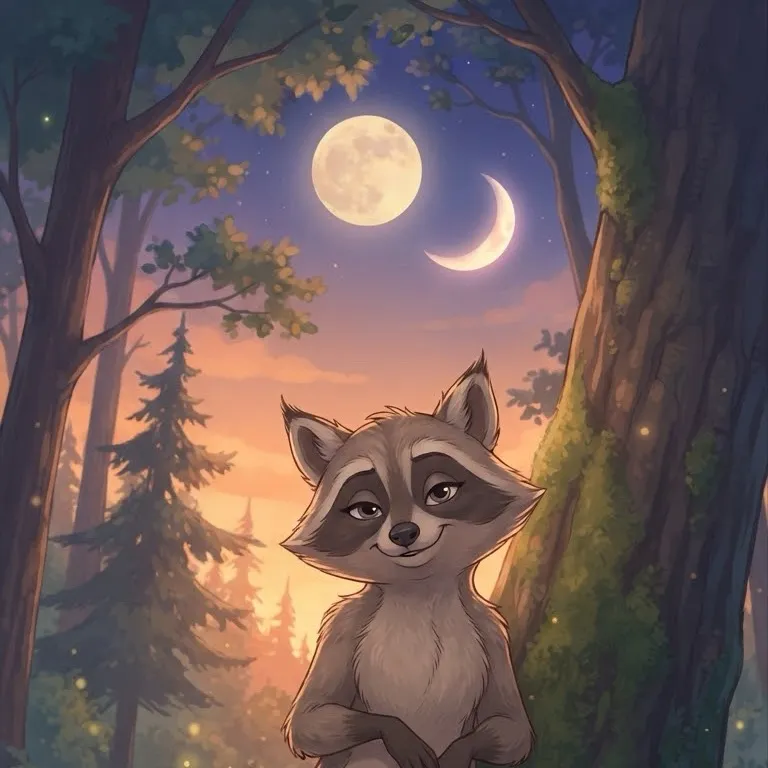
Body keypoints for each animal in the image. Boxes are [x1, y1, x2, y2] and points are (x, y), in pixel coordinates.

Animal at [280, 354, 543, 768]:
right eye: (367, 509)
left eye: (441, 491)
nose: (404, 533)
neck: (422, 592)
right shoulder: (343, 626)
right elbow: (309, 720)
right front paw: (397, 732)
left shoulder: (492, 632)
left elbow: (513, 728)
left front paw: (460, 750)